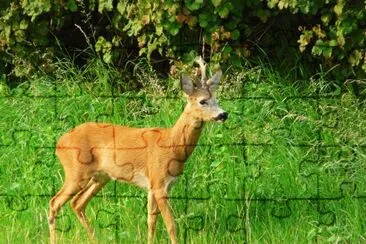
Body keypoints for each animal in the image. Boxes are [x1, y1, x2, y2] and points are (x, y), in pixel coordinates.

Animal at [47, 56, 227, 243]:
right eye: (202, 101)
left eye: (217, 99)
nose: (223, 114)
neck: (172, 145)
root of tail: (59, 143)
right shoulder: (158, 182)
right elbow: (171, 224)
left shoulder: (157, 186)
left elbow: (151, 221)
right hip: (75, 172)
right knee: (54, 202)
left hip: (100, 177)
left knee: (77, 203)